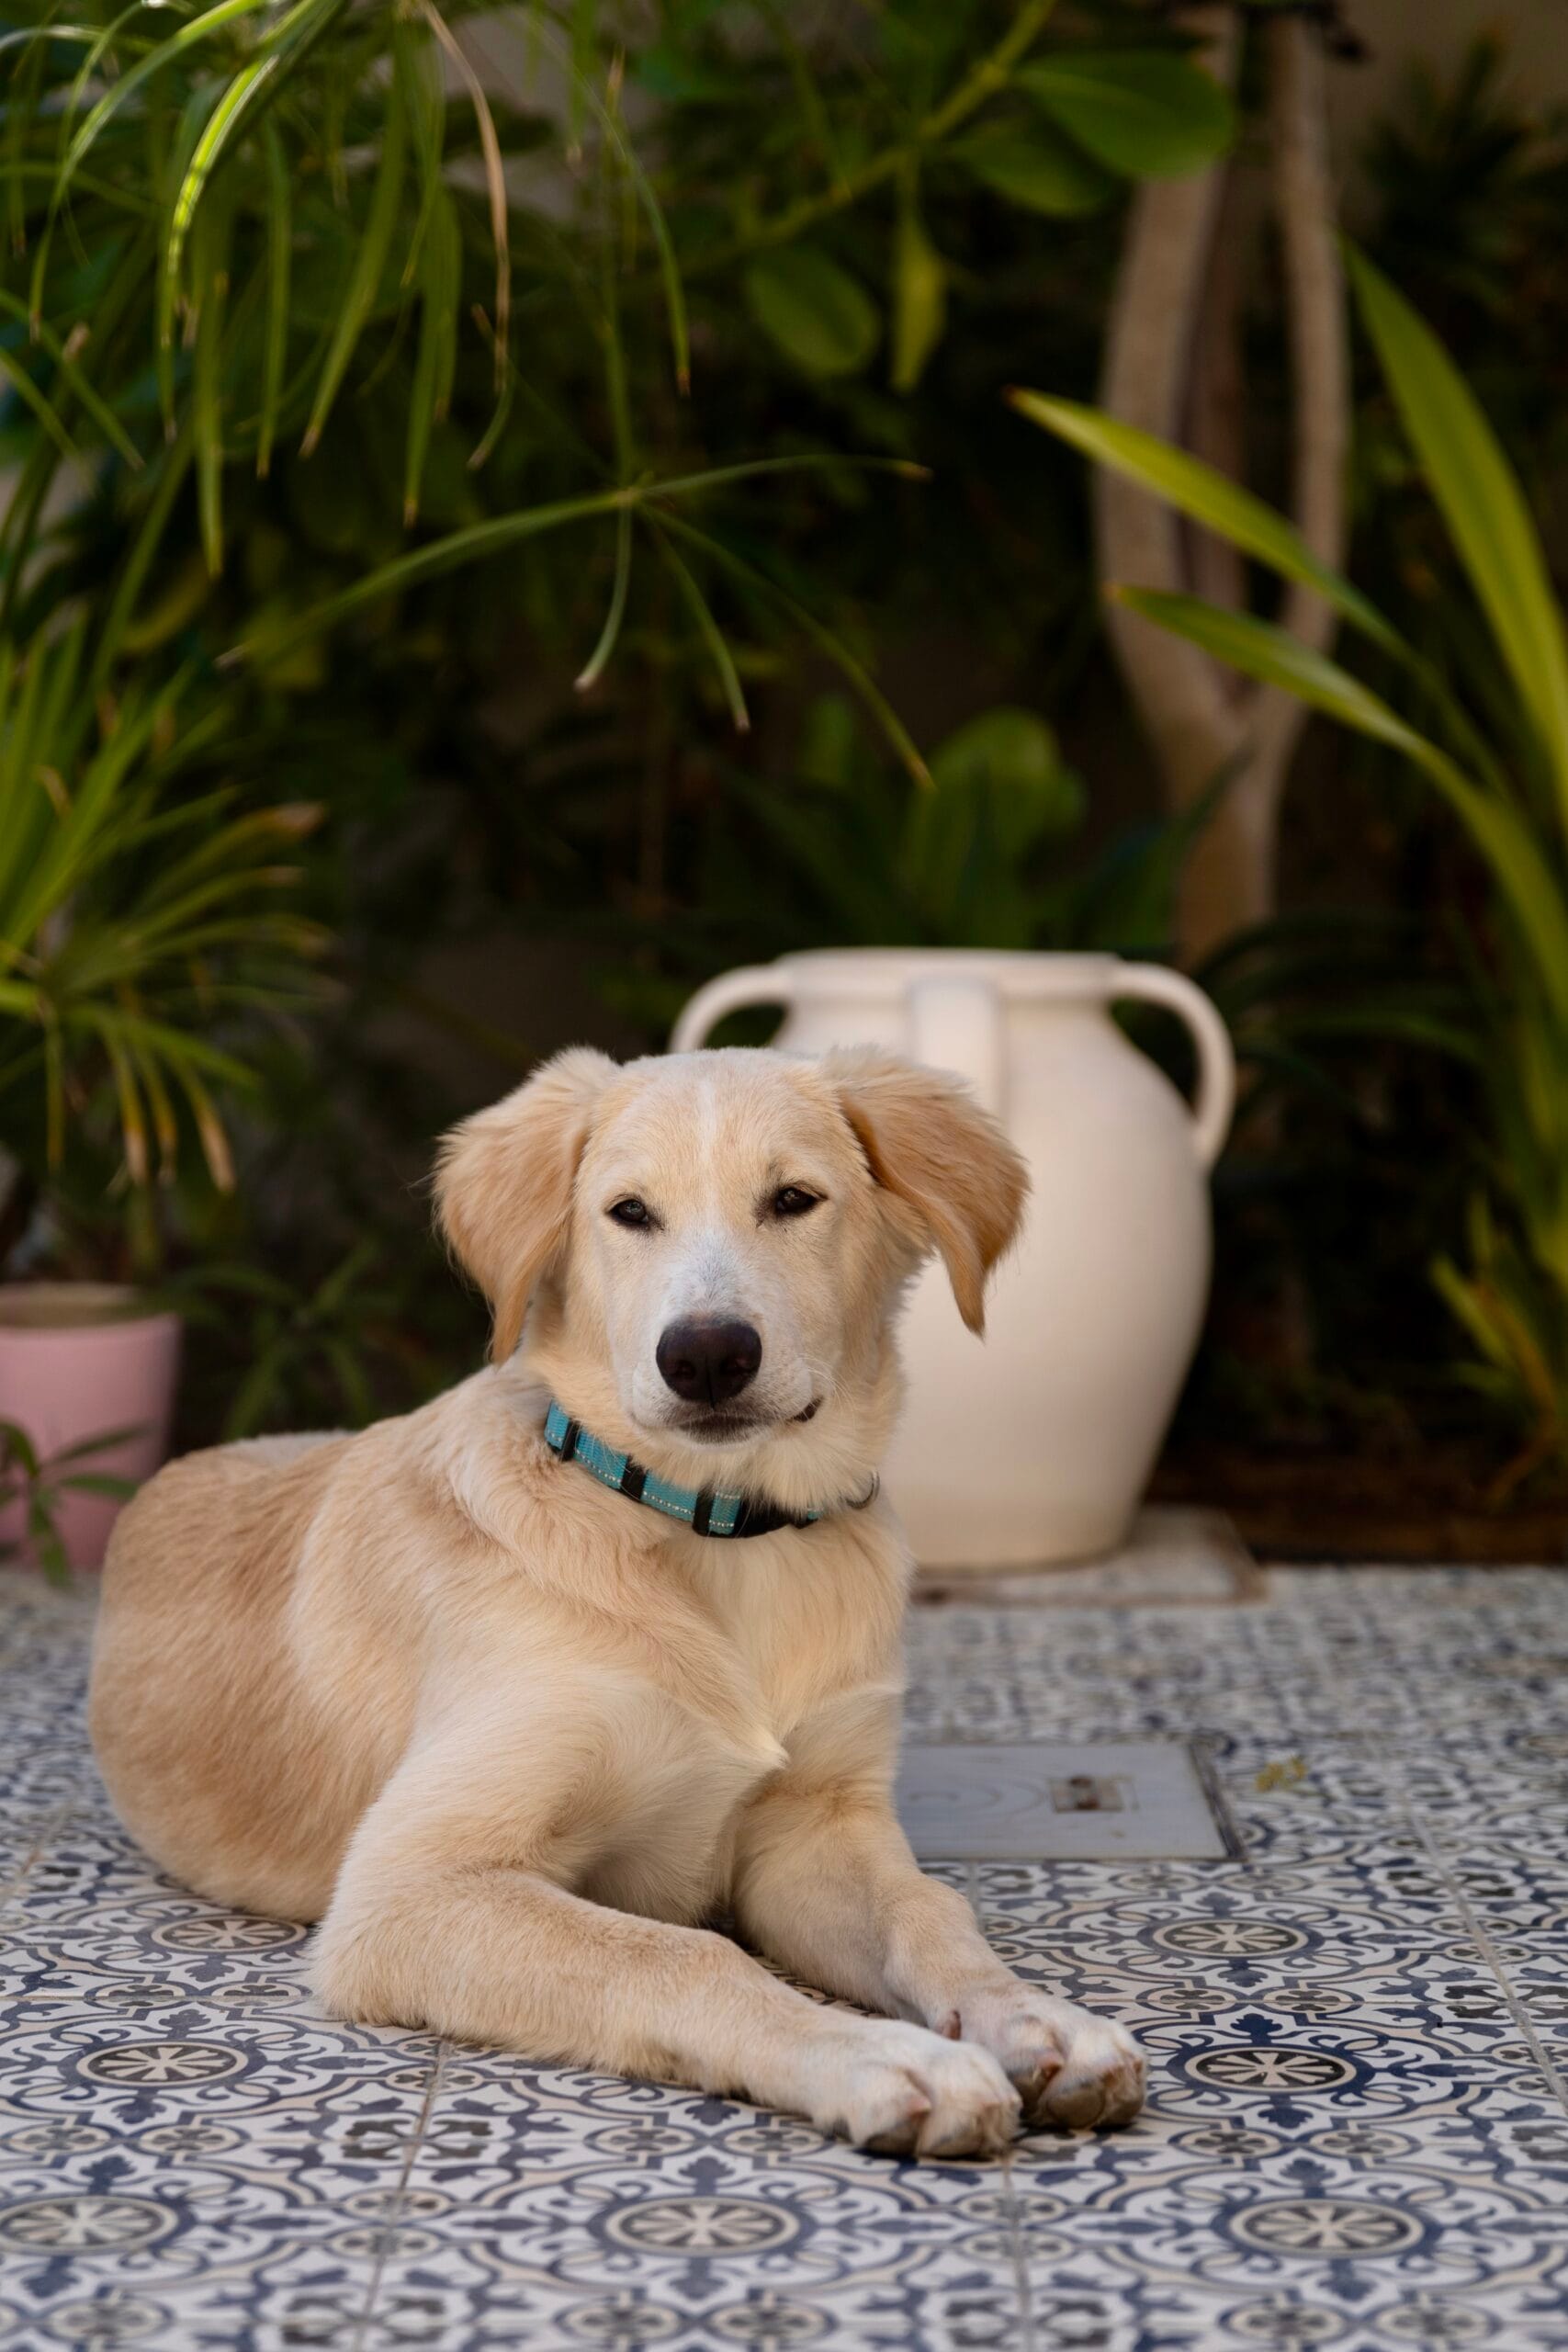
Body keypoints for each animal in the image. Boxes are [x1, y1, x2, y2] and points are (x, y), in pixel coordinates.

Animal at [91, 1045, 1144, 2157]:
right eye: (629, 1212)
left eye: (794, 1199)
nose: (708, 1355)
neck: (717, 1537)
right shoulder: (407, 1886)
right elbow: (687, 1957)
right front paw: (884, 2058)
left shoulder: (816, 1826)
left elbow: (929, 1913)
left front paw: (1035, 2019)